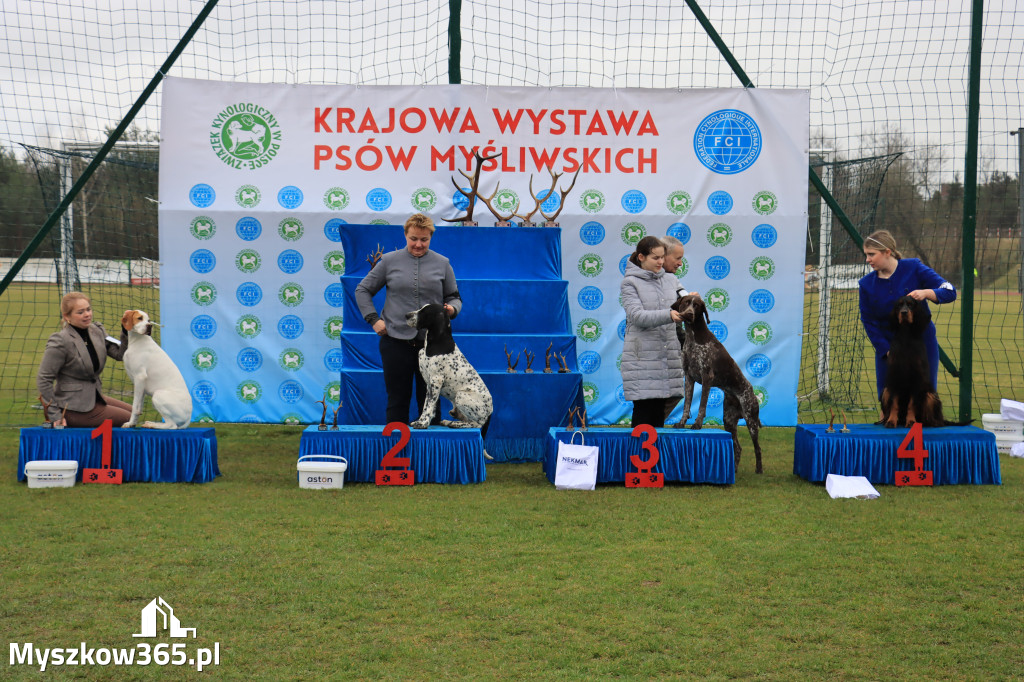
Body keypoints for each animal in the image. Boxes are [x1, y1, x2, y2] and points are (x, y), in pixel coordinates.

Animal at [403, 301, 491, 436]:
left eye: (424, 312)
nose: (407, 315)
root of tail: (491, 411)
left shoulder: (436, 380)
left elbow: (429, 405)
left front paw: (423, 423)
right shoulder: (429, 384)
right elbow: (426, 405)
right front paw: (421, 421)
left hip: (461, 395)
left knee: (476, 424)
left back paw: (456, 424)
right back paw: (448, 421)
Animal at [671, 292, 761, 473]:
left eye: (696, 305)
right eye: (686, 302)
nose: (689, 314)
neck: (693, 336)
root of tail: (751, 392)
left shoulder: (707, 377)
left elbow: (701, 406)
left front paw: (697, 424)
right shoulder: (689, 378)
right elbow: (687, 405)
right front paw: (682, 423)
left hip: (751, 419)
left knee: (757, 448)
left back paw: (759, 470)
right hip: (729, 420)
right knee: (737, 447)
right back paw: (734, 470)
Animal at [876, 296, 946, 428]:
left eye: (910, 305)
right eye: (899, 305)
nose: (904, 312)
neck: (906, 335)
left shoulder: (917, 378)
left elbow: (912, 404)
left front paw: (911, 421)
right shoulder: (895, 376)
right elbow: (894, 403)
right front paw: (891, 421)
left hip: (930, 395)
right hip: (886, 391)